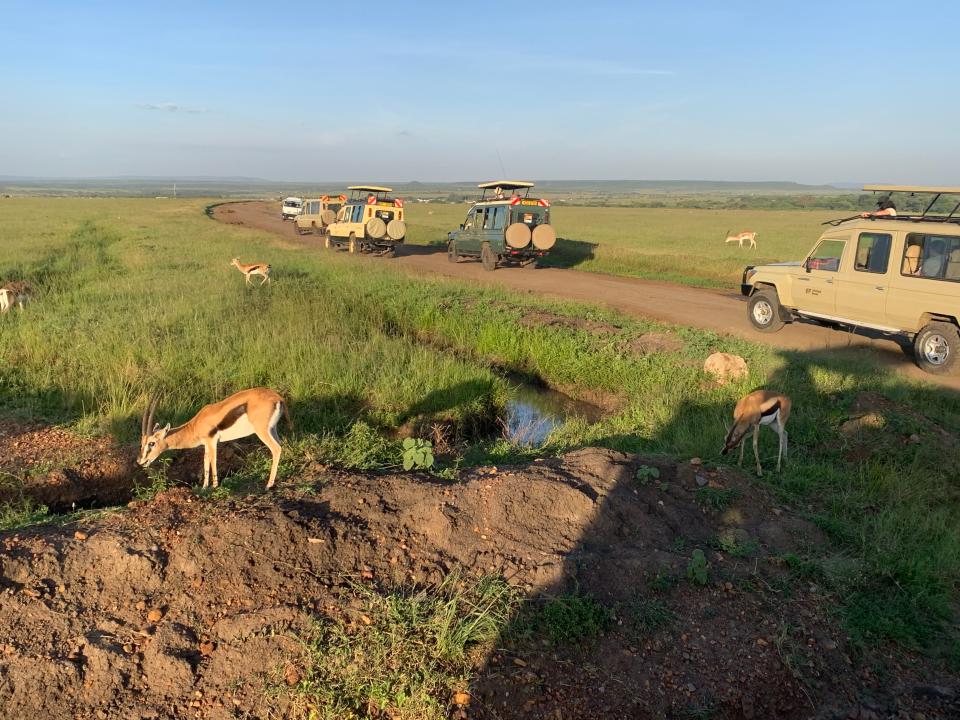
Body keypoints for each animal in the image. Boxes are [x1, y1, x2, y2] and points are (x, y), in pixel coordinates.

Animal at [137, 388, 290, 490]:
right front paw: (204, 487)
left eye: (152, 443)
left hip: (262, 432)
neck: (196, 424)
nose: (140, 461)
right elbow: (205, 461)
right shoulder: (206, 444)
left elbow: (213, 460)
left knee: (276, 449)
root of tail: (277, 398)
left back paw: (268, 485)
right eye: (142, 443)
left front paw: (215, 486)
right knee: (280, 446)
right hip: (272, 430)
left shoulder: (212, 441)